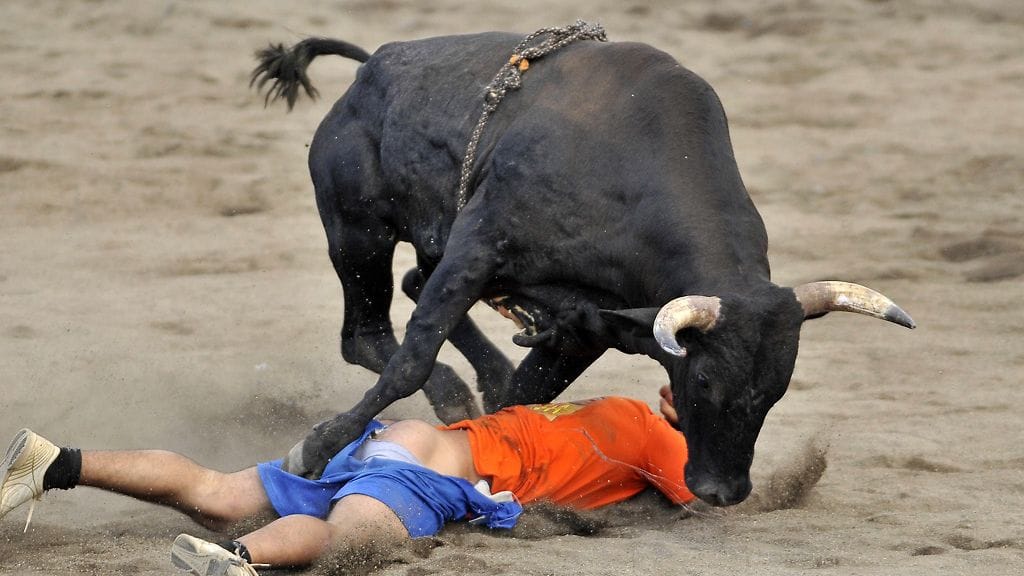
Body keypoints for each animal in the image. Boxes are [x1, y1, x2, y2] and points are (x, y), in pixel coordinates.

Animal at [251, 30, 914, 506]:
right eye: (703, 380)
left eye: (777, 389)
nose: (723, 491)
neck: (623, 168)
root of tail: (369, 71)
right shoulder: (478, 247)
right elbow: (412, 360)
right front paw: (312, 451)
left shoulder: (587, 324)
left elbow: (525, 393)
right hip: (358, 235)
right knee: (366, 334)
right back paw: (442, 397)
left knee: (414, 289)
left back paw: (469, 392)